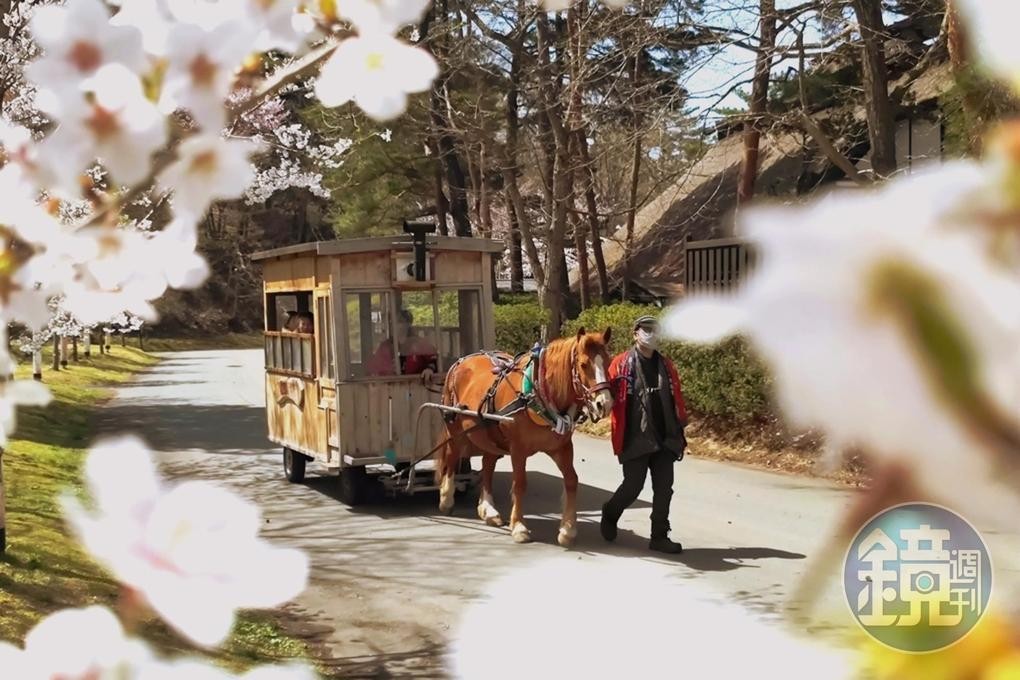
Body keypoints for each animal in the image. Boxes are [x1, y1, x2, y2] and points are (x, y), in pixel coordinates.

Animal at [432, 328, 607, 546]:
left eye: (608, 361)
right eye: (583, 364)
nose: (603, 403)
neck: (538, 392)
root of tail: (462, 360)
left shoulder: (562, 447)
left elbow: (572, 480)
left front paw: (567, 529)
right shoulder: (518, 449)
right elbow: (520, 483)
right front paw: (519, 526)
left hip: (488, 433)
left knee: (488, 464)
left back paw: (489, 510)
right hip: (455, 428)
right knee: (451, 456)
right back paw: (446, 499)